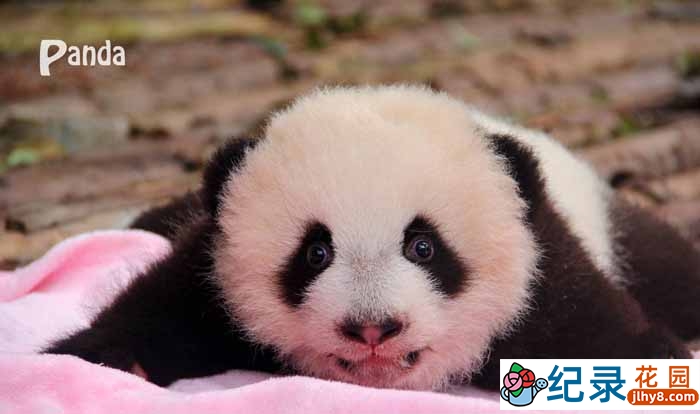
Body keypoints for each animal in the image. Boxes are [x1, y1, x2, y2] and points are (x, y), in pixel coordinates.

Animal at [46, 85, 700, 391]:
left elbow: (593, 324)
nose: (372, 329)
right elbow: (160, 309)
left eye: (423, 246)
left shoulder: (544, 270)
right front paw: (103, 361)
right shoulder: (213, 268)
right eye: (315, 253)